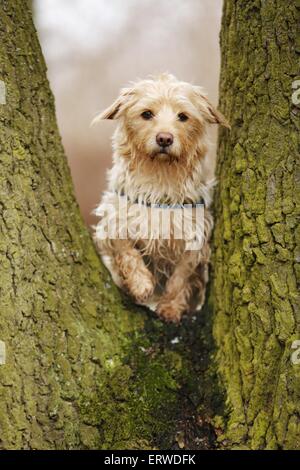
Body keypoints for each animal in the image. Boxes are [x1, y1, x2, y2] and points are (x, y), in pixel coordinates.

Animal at [92, 73, 229, 324]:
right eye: (147, 114)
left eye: (183, 116)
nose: (164, 138)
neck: (160, 176)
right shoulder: (115, 220)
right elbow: (126, 251)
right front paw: (140, 284)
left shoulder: (194, 236)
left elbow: (180, 278)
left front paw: (171, 307)